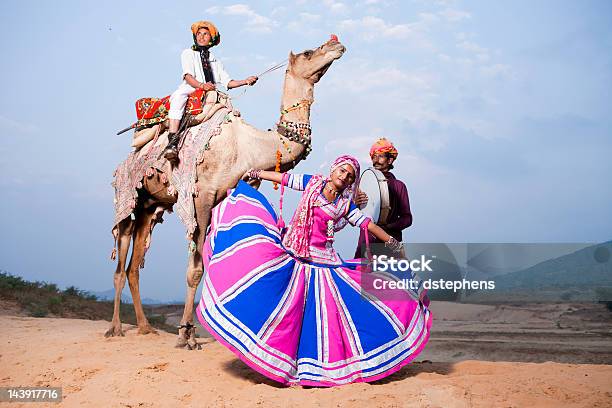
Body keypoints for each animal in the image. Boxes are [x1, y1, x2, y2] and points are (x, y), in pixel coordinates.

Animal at [104, 36, 344, 348]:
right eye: (307, 53)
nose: (336, 44)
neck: (248, 146)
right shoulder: (201, 197)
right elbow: (195, 269)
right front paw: (186, 335)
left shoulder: (227, 196)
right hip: (126, 198)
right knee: (120, 264)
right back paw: (115, 328)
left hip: (149, 207)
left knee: (134, 266)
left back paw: (145, 327)